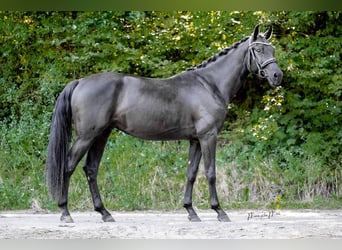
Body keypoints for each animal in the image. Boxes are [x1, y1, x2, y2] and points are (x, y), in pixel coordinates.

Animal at [46, 23, 284, 223]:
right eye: (258, 50)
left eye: (272, 50)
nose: (277, 76)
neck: (209, 84)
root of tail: (79, 82)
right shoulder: (208, 136)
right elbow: (210, 172)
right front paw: (219, 211)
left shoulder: (195, 140)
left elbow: (191, 173)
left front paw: (190, 211)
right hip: (86, 136)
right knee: (69, 166)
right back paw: (65, 212)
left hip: (101, 135)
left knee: (91, 169)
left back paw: (104, 213)